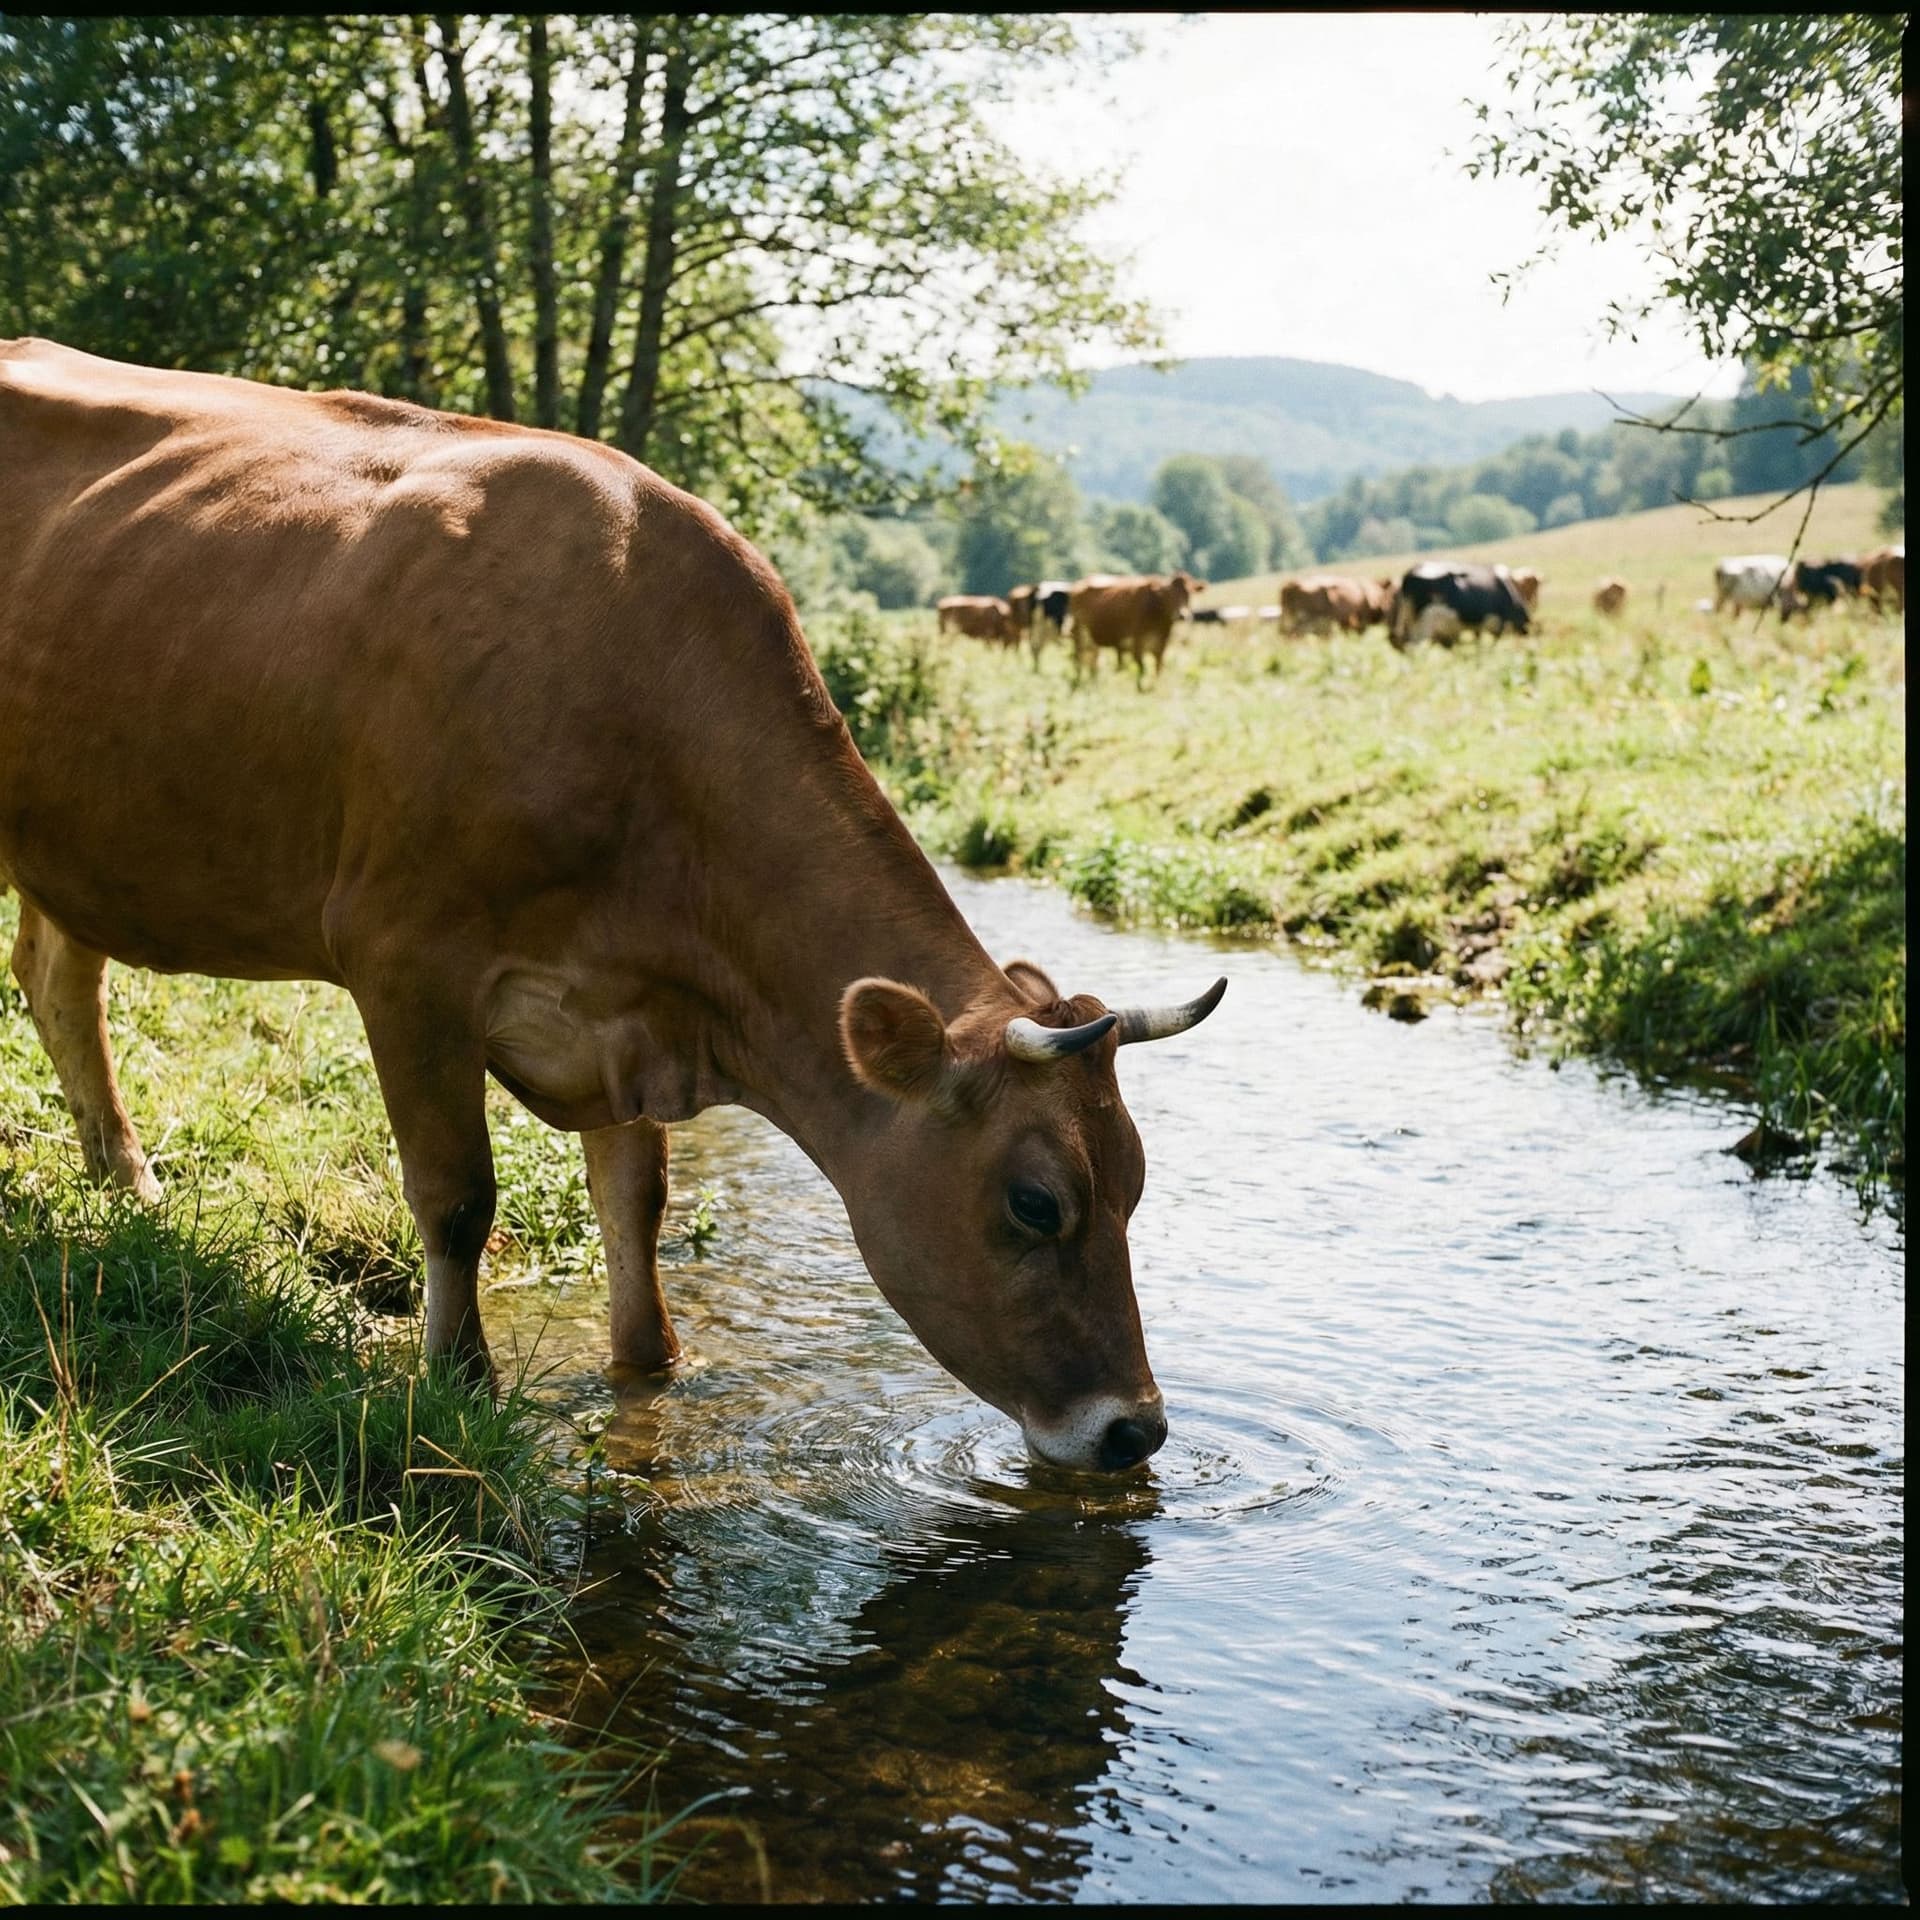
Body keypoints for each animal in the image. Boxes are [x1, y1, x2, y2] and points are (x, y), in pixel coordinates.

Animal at [1066, 572, 1204, 684]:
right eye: (1169, 594)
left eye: (1189, 593)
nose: (1182, 615)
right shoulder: (1137, 644)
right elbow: (1142, 669)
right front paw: (1140, 689)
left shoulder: (1161, 647)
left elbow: (1158, 669)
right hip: (1079, 633)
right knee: (1079, 660)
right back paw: (1078, 683)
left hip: (1093, 640)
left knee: (1092, 662)